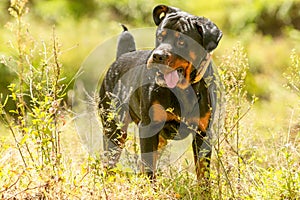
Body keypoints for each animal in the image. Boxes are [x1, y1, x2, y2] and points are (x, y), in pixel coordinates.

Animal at [99, 4, 223, 182]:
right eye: (159, 36)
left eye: (181, 41)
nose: (158, 56)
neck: (183, 90)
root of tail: (121, 57)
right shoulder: (148, 127)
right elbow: (149, 170)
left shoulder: (203, 133)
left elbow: (203, 174)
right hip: (114, 128)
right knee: (109, 162)